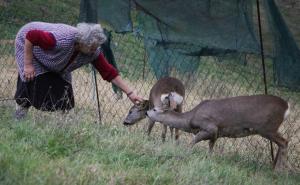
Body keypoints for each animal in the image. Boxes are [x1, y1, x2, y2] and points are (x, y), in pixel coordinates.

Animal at [145, 94, 290, 171]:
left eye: (154, 109)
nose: (146, 112)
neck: (190, 120)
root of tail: (286, 107)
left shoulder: (211, 127)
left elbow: (193, 141)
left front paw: (183, 154)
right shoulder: (217, 133)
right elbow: (210, 147)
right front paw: (208, 161)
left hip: (267, 127)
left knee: (284, 142)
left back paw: (279, 171)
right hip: (270, 128)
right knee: (282, 143)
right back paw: (275, 168)